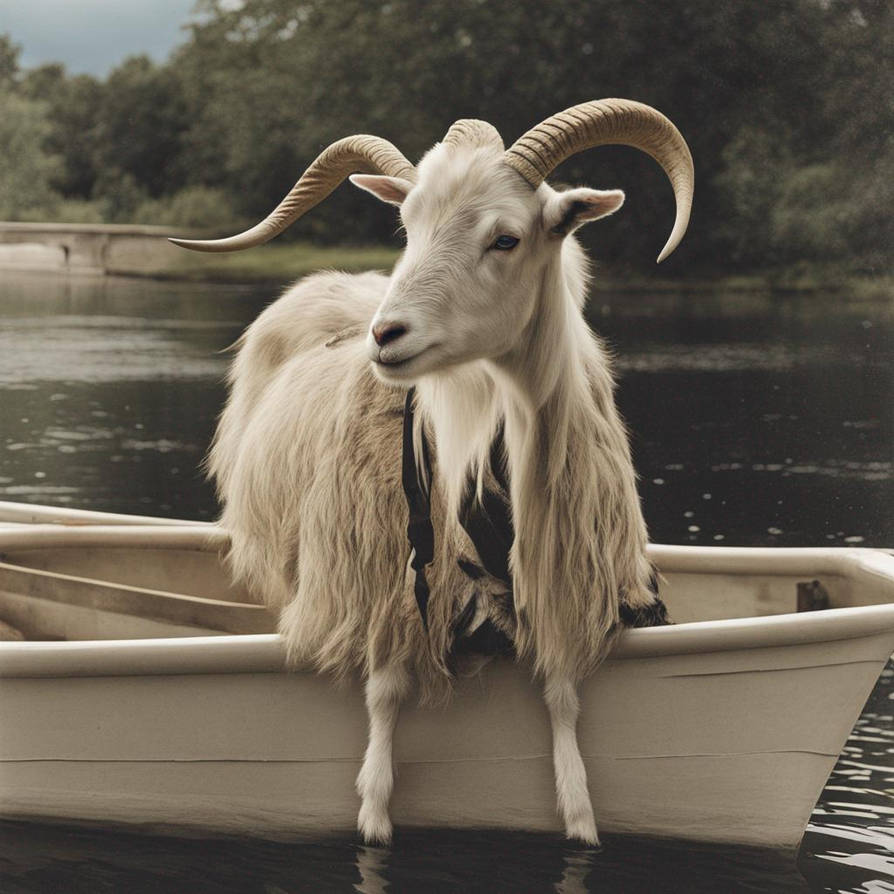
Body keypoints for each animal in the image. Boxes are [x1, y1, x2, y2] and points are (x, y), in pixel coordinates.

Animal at [172, 99, 694, 846]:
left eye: (506, 239)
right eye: (407, 227)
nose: (386, 335)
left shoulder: (565, 582)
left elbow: (564, 695)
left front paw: (580, 813)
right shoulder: (385, 587)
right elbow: (385, 697)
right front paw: (372, 816)